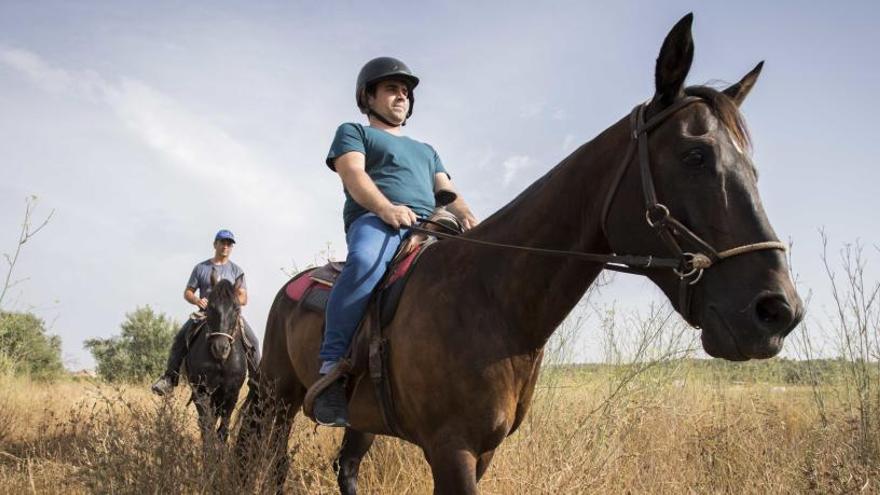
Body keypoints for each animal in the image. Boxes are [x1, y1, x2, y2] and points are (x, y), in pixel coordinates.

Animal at [185, 278, 248, 444]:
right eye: (210, 308)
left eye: (236, 309)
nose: (220, 348)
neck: (221, 363)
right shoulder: (202, 392)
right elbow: (207, 428)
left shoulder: (231, 394)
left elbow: (223, 430)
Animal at [237, 13, 800, 494]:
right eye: (695, 155)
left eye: (752, 168)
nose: (777, 312)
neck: (493, 302)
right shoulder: (452, 450)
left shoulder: (483, 453)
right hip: (278, 399)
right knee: (268, 461)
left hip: (359, 419)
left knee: (346, 468)